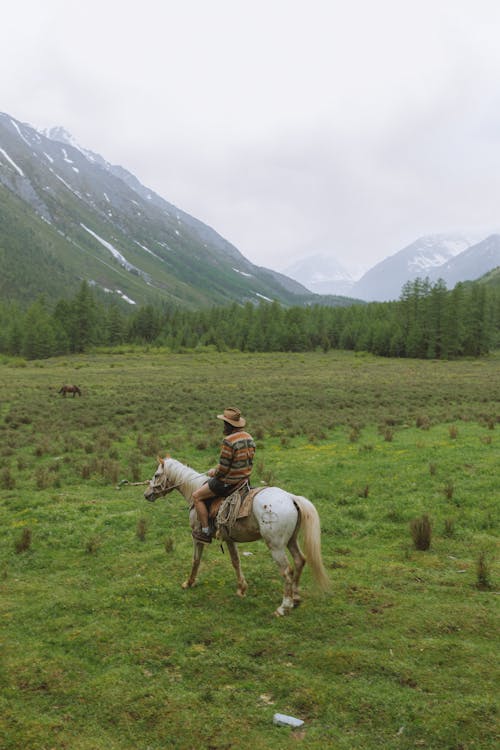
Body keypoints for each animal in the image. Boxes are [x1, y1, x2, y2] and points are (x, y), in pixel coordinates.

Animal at [145, 456, 330, 620]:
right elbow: (236, 562)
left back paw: (283, 607)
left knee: (287, 571)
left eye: (156, 475)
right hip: (291, 541)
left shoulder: (197, 537)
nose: (147, 494)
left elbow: (196, 560)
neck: (194, 491)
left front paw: (188, 583)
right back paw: (295, 598)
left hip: (276, 546)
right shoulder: (229, 539)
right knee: (300, 560)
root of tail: (291, 498)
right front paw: (242, 589)